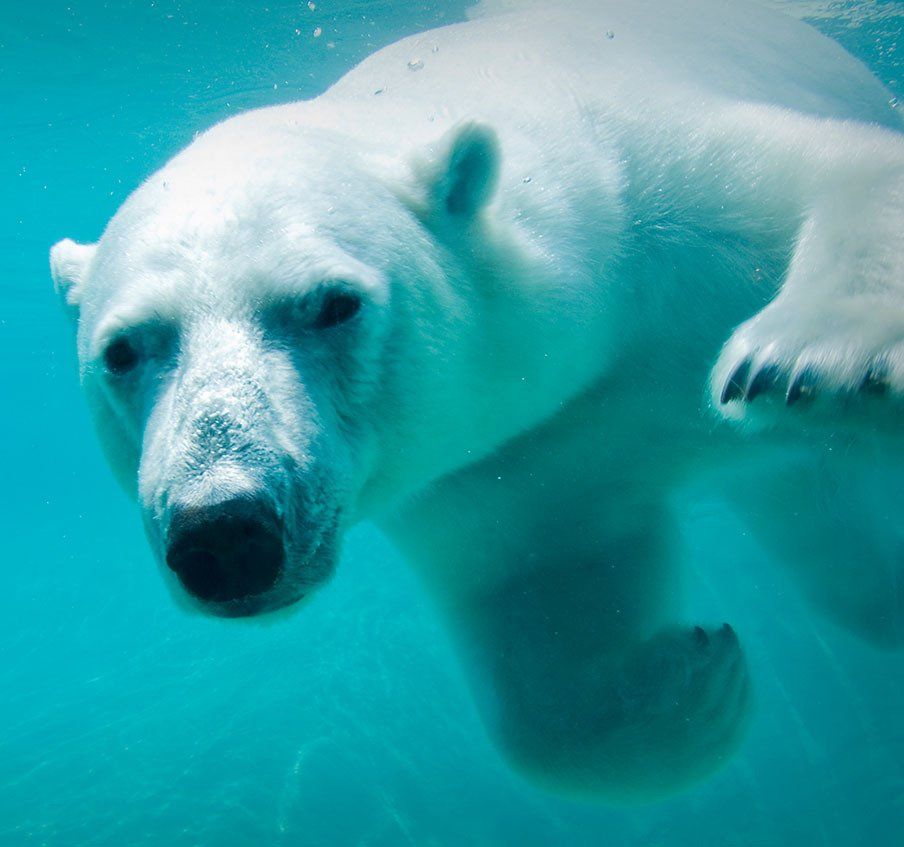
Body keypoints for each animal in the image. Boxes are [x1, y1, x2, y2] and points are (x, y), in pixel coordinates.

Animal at [50, 0, 904, 801]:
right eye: (123, 349)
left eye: (333, 303)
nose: (226, 532)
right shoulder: (511, 467)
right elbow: (545, 643)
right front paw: (700, 678)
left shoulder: (663, 192)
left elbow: (843, 169)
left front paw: (803, 359)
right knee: (843, 565)